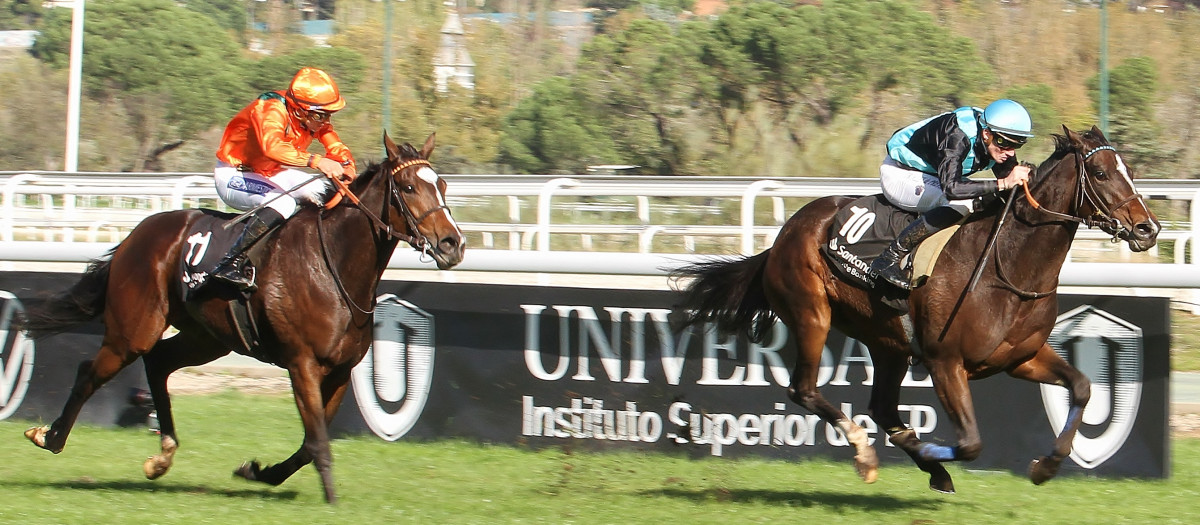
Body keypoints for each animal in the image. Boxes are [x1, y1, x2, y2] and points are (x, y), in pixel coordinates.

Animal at [17, 132, 463, 503]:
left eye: (441, 185)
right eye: (409, 187)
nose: (452, 244)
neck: (334, 265)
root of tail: (137, 234)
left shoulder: (339, 370)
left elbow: (310, 441)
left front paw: (259, 471)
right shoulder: (301, 363)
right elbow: (317, 440)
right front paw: (331, 499)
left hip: (206, 337)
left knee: (158, 362)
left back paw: (162, 455)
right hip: (134, 328)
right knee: (91, 371)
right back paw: (50, 436)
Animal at [672, 125, 1156, 491]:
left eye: (1129, 171)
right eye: (1100, 172)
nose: (1148, 230)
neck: (1008, 265)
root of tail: (783, 235)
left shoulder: (1021, 357)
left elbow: (1082, 387)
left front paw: (1046, 466)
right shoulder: (946, 362)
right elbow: (971, 443)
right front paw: (929, 450)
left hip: (887, 342)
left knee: (882, 408)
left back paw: (928, 467)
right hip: (812, 314)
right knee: (804, 390)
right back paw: (868, 454)